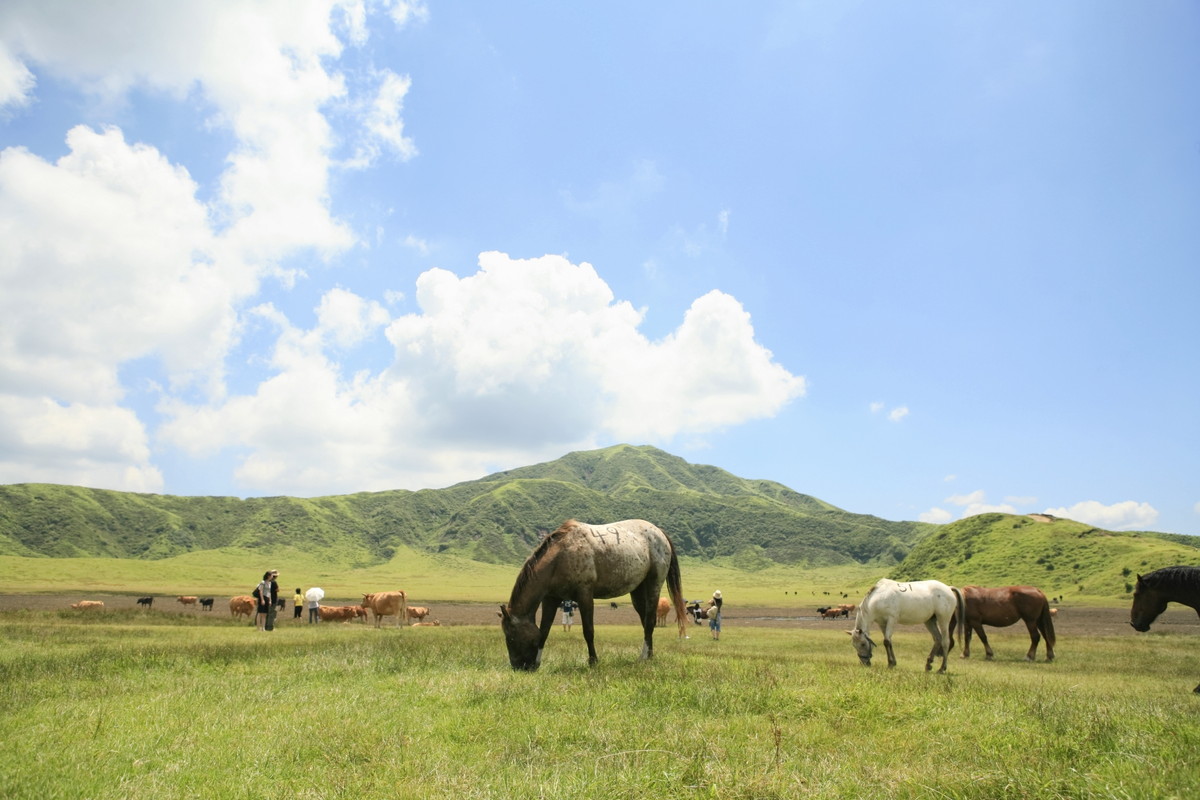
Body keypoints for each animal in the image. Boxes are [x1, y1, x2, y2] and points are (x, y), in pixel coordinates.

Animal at [496, 522, 686, 671]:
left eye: (511, 637)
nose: (518, 667)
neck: (560, 557)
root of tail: (659, 532)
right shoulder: (550, 599)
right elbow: (544, 631)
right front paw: (537, 662)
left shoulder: (585, 594)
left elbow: (588, 631)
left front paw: (593, 661)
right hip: (638, 591)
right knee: (646, 621)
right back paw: (649, 656)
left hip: (653, 585)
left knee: (650, 621)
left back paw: (643, 657)